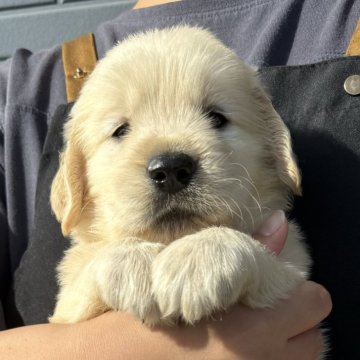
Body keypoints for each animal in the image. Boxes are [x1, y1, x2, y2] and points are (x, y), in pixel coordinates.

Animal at [49, 26, 310, 326]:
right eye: (120, 130)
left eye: (217, 118)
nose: (171, 169)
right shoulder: (66, 309)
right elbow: (91, 267)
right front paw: (136, 263)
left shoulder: (293, 271)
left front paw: (200, 259)